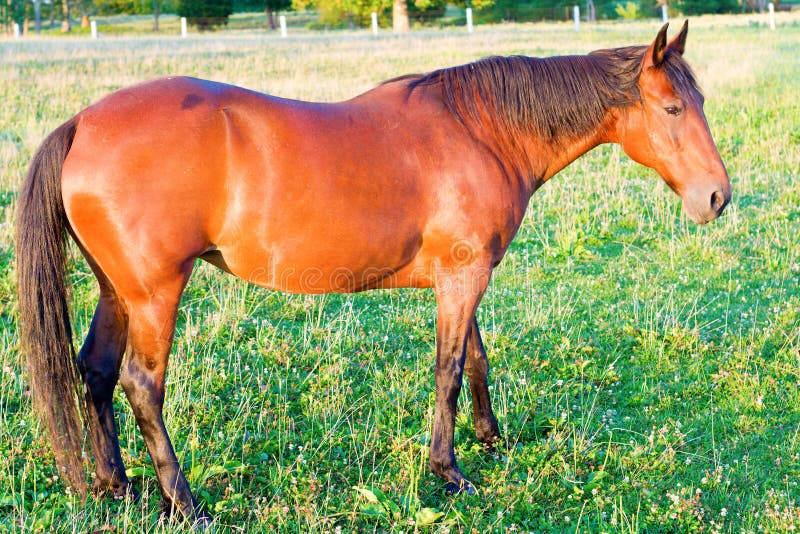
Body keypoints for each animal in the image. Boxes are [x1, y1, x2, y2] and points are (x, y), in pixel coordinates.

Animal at [17, 21, 732, 524]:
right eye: (672, 109)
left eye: (699, 101)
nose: (718, 197)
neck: (481, 130)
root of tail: (83, 123)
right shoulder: (463, 277)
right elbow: (449, 371)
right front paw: (449, 471)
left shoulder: (463, 275)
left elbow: (475, 360)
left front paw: (491, 441)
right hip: (156, 294)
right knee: (141, 385)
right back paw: (184, 502)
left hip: (119, 290)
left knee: (96, 372)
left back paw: (117, 486)